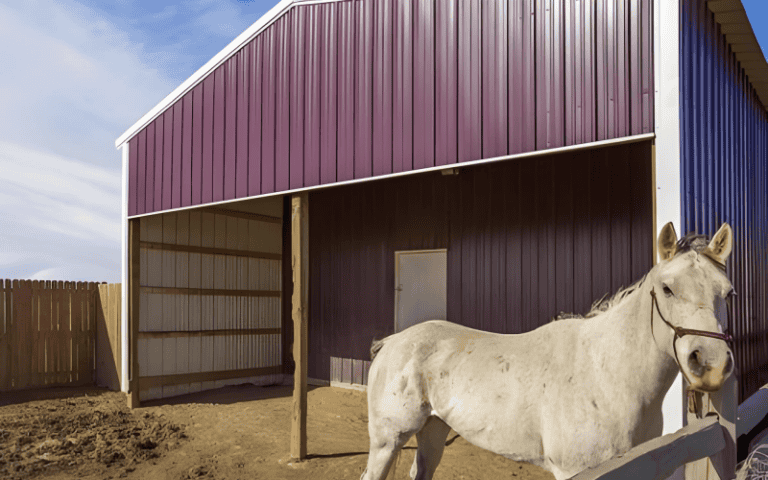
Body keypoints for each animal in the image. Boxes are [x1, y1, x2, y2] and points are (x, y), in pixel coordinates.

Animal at [360, 222, 735, 480]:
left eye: (728, 292)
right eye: (667, 289)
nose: (711, 365)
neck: (607, 374)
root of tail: (392, 342)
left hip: (433, 430)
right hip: (387, 440)